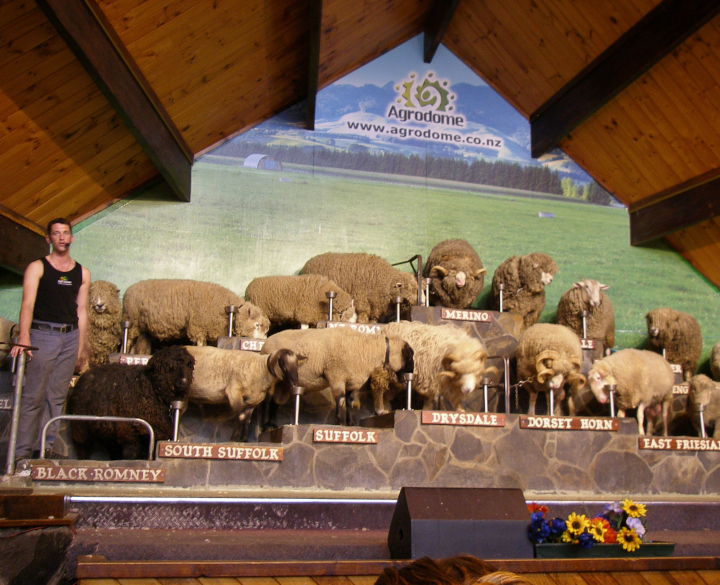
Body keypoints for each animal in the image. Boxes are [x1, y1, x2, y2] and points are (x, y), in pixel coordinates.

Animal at [122, 279, 270, 352]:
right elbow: (200, 343)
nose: (264, 341)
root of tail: (128, 290)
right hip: (131, 321)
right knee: (128, 340)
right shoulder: (197, 327)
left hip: (143, 329)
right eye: (256, 325)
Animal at [260, 327, 414, 423]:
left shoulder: (353, 381)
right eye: (410, 355)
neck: (366, 349)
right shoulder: (336, 376)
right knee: (266, 400)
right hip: (272, 379)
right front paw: (339, 421)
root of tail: (265, 344)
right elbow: (339, 399)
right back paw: (265, 426)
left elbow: (349, 400)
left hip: (283, 383)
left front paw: (350, 422)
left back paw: (271, 425)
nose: (411, 372)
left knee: (275, 402)